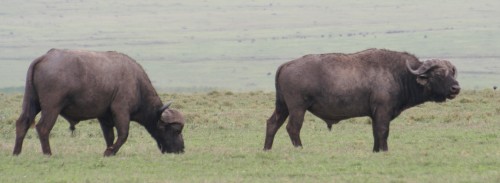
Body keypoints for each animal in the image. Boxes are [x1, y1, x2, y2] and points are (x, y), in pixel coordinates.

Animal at [14, 48, 186, 156]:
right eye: (176, 130)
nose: (181, 149)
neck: (137, 84)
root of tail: (44, 57)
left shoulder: (104, 117)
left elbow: (109, 136)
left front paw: (109, 150)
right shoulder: (121, 110)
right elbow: (123, 134)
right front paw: (110, 152)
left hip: (32, 102)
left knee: (22, 123)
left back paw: (16, 152)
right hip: (52, 107)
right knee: (43, 127)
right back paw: (48, 153)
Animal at [266, 48, 460, 152]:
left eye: (452, 73)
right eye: (438, 74)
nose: (456, 88)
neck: (400, 74)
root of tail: (286, 65)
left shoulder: (375, 115)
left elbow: (376, 133)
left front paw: (376, 151)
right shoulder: (382, 112)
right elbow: (383, 132)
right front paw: (384, 150)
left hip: (282, 107)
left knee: (272, 124)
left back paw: (266, 149)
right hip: (297, 108)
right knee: (293, 128)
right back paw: (299, 148)